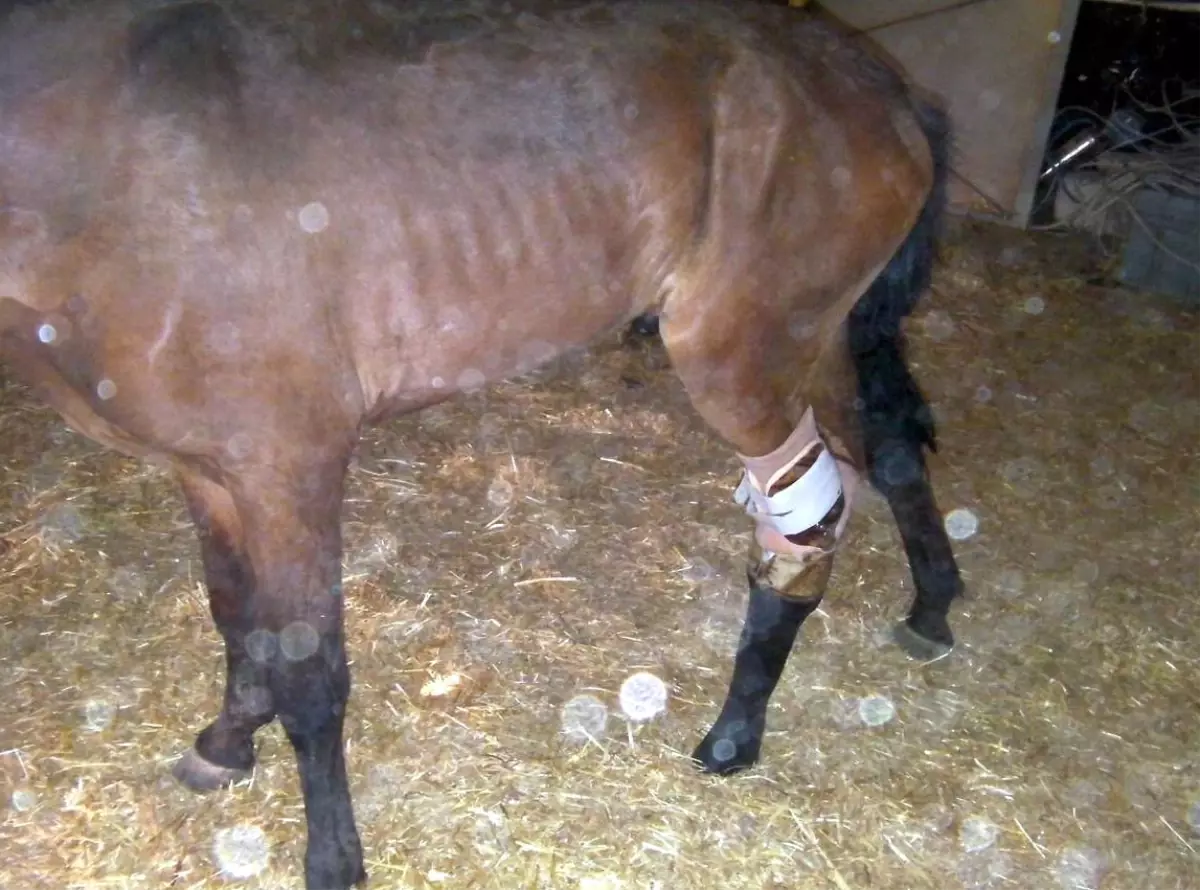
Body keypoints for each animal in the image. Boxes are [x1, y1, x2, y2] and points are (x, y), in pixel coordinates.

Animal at [0, 0, 960, 887]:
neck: (117, 159)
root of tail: (881, 85)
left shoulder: (289, 468)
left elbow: (311, 671)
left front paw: (333, 857)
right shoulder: (207, 473)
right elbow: (236, 616)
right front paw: (230, 742)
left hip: (744, 366)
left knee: (807, 524)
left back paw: (734, 735)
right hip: (815, 346)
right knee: (884, 457)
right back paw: (930, 608)